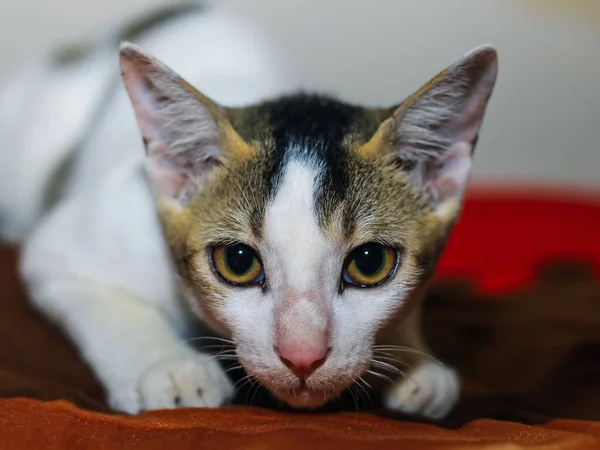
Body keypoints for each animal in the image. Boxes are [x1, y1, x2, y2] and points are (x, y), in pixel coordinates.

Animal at [0, 3, 494, 420]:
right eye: (237, 261)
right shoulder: (82, 240)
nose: (302, 356)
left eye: (370, 262)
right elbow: (101, 298)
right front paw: (169, 368)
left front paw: (413, 362)